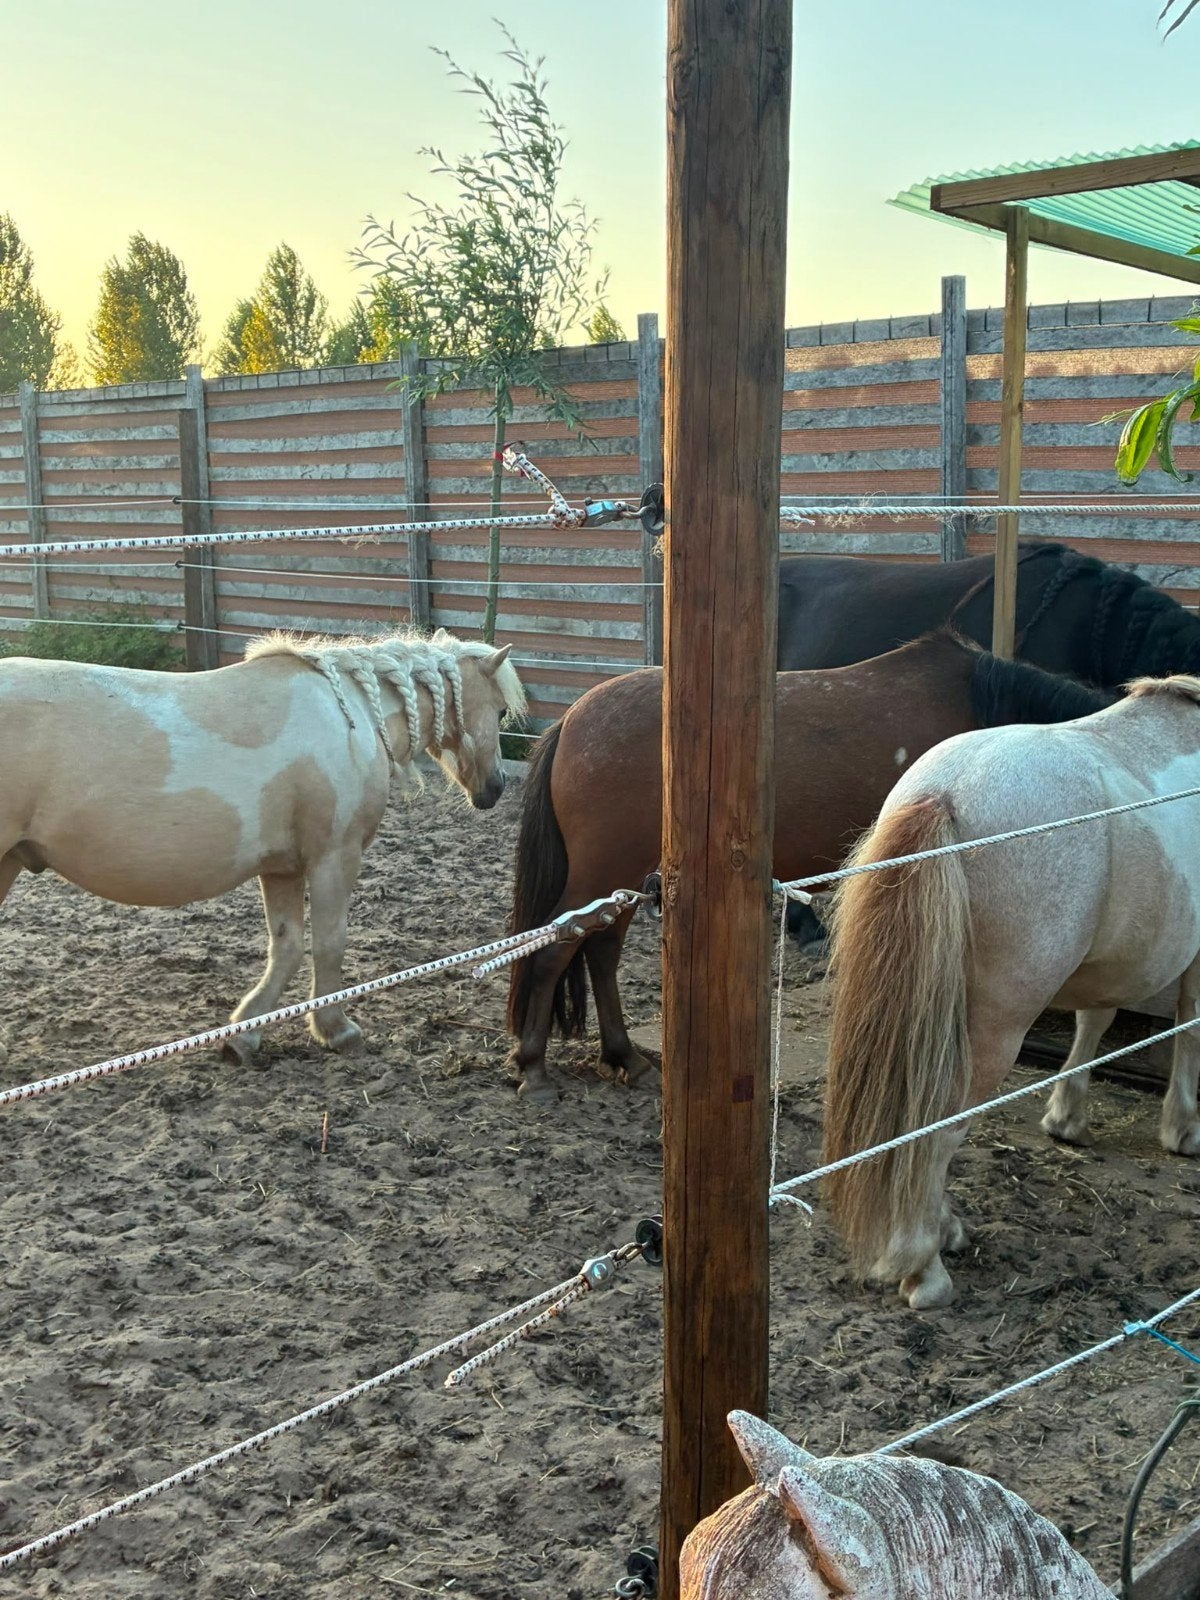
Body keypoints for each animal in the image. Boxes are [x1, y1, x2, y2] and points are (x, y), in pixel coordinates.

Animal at [0, 627, 524, 1061]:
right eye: (500, 710)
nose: (495, 789)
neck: (350, 717)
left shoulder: (282, 868)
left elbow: (286, 947)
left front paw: (244, 1035)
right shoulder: (334, 857)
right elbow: (329, 943)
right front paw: (336, 1029)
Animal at [505, 633, 1108, 1103]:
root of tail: (572, 720)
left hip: (624, 878)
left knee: (600, 953)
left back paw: (625, 1056)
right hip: (604, 870)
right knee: (556, 950)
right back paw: (534, 1066)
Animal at [823, 676, 1200, 1310]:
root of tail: (947, 791)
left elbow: (1095, 1020)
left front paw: (1067, 1117)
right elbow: (1189, 1026)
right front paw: (1184, 1126)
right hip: (992, 1033)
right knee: (939, 1127)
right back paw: (922, 1266)